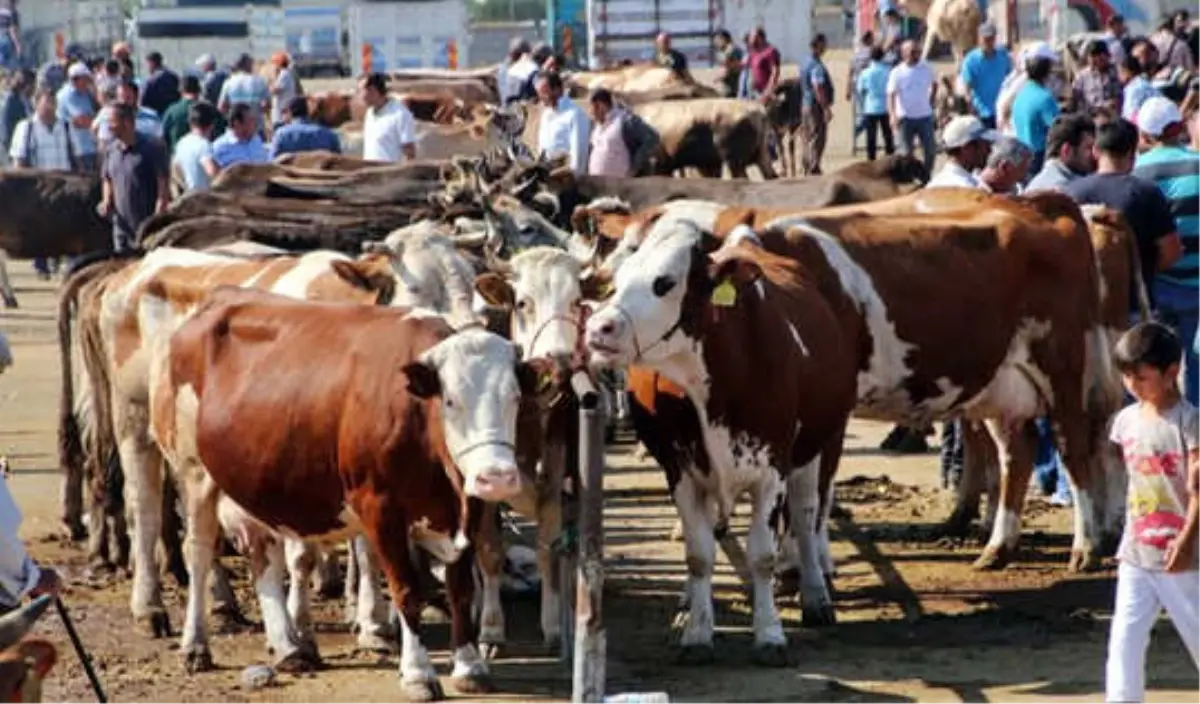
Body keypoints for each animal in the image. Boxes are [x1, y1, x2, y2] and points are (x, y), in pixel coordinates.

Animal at [142, 287, 547, 700]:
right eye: (450, 401)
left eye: (515, 398)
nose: (496, 477)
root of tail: (218, 298)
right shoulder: (380, 507)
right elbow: (406, 589)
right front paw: (418, 673)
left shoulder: (466, 508)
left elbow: (461, 588)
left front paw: (469, 665)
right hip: (193, 470)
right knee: (199, 551)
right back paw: (195, 645)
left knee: (263, 552)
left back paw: (290, 647)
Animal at [583, 219, 859, 662]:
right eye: (620, 279)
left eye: (665, 282)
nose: (597, 328)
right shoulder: (682, 471)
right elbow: (699, 554)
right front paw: (697, 631)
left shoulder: (772, 469)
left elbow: (763, 555)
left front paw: (770, 634)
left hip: (817, 446)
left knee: (805, 513)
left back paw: (816, 596)